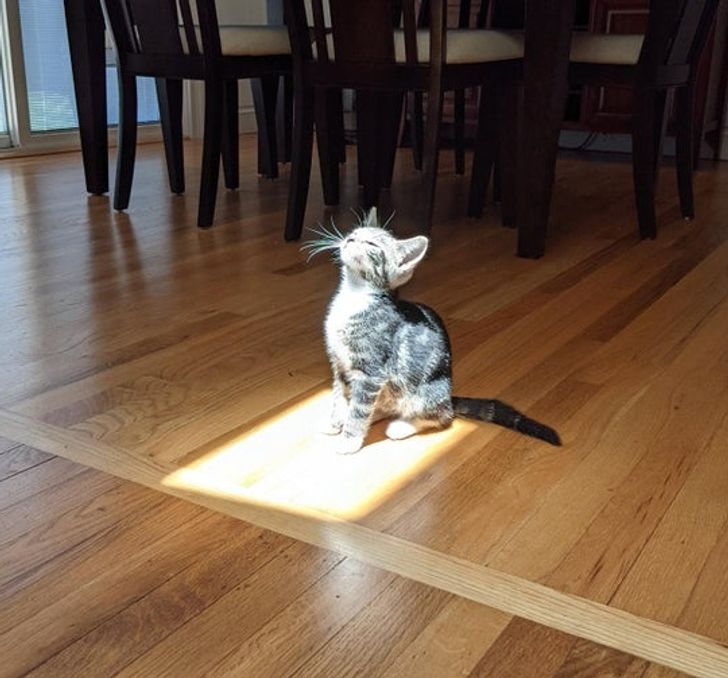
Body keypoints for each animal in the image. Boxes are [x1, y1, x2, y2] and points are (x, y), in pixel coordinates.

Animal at [304, 207, 560, 456]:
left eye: (372, 244)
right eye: (354, 233)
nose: (350, 239)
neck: (354, 296)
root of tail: (448, 395)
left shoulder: (371, 371)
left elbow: (359, 409)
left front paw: (349, 440)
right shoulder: (339, 364)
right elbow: (340, 396)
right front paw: (336, 422)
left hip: (425, 391)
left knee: (442, 416)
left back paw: (401, 426)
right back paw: (375, 414)